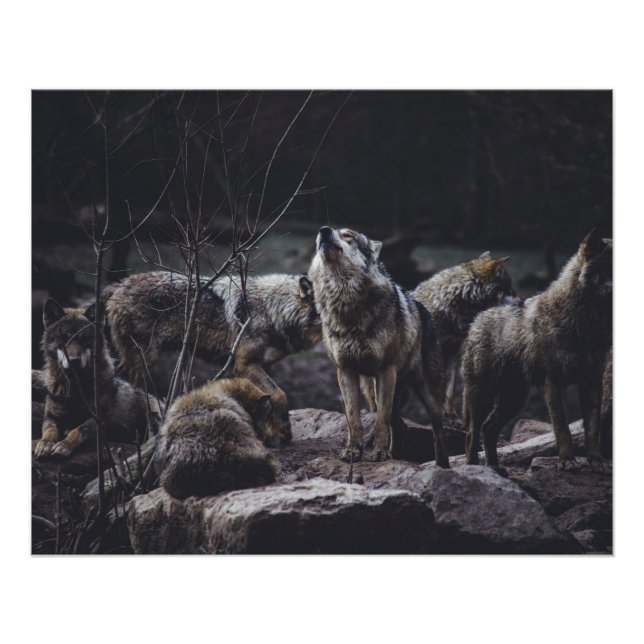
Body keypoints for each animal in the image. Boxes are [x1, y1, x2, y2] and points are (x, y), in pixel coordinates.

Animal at [34, 299, 160, 460]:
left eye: (84, 339)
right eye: (64, 338)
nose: (74, 361)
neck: (75, 389)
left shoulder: (99, 420)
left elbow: (78, 430)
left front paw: (63, 446)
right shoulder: (51, 417)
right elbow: (48, 432)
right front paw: (44, 445)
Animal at [103, 271, 322, 442]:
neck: (273, 309)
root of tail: (118, 285)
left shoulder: (263, 365)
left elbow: (267, 399)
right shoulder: (244, 363)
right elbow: (279, 394)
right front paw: (284, 430)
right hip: (143, 359)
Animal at [308, 226, 449, 466]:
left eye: (348, 236)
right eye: (326, 232)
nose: (324, 230)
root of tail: (423, 308)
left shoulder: (386, 370)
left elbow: (381, 420)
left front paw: (380, 453)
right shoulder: (345, 370)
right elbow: (353, 418)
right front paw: (353, 452)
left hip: (426, 394)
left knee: (437, 429)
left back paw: (442, 466)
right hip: (373, 391)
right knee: (399, 425)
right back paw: (396, 455)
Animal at [462, 230, 612, 472]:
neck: (584, 325)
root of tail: (478, 317)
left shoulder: (591, 382)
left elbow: (592, 429)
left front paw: (596, 463)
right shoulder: (554, 382)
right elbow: (562, 428)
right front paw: (568, 462)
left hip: (514, 400)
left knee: (488, 429)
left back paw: (495, 468)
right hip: (483, 396)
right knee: (472, 434)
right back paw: (475, 468)